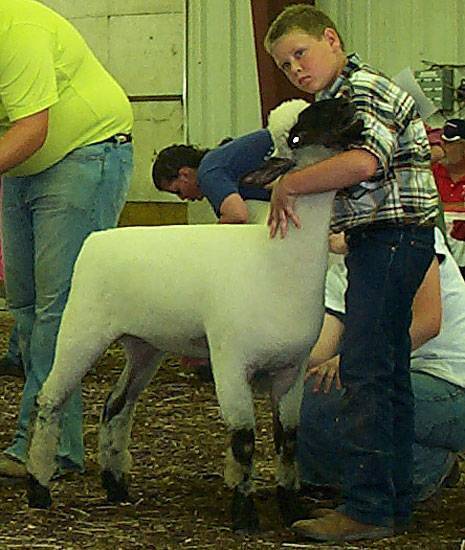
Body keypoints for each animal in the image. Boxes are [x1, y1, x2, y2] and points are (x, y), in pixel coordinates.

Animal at [26, 97, 364, 533]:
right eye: (296, 135)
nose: (347, 103)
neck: (274, 259)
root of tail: (97, 238)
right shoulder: (230, 362)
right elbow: (244, 440)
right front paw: (244, 516)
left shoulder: (292, 369)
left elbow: (288, 440)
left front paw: (292, 510)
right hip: (82, 328)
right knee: (49, 399)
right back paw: (39, 490)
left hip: (144, 346)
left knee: (116, 406)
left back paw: (116, 487)